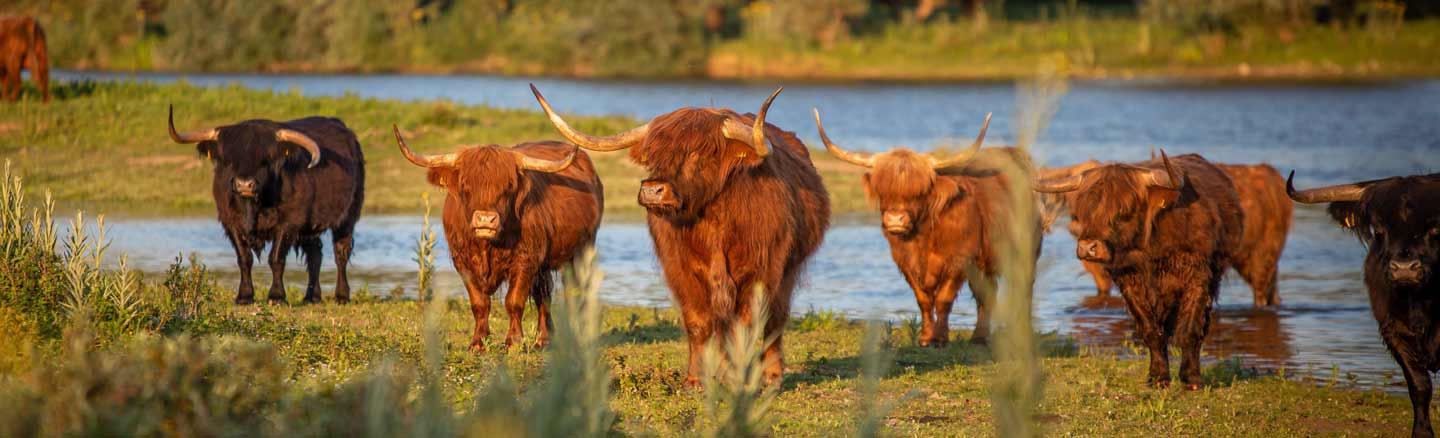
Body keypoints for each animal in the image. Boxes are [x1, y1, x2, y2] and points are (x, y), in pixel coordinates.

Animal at [167, 105, 364, 305]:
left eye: (265, 160)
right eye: (230, 159)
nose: (244, 184)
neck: (254, 207)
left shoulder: (289, 223)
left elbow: (276, 259)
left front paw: (276, 296)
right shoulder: (230, 222)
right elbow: (244, 258)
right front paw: (244, 296)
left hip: (348, 216)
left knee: (341, 252)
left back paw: (341, 296)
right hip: (309, 226)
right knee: (315, 253)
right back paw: (311, 296)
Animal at [392, 126, 603, 351]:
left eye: (508, 185)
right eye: (465, 184)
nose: (485, 219)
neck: (488, 246)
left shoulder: (525, 260)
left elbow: (514, 301)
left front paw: (513, 342)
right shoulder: (463, 262)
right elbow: (479, 303)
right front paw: (477, 343)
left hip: (581, 251)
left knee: (575, 290)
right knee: (544, 294)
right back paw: (543, 339)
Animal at [530, 84, 830, 387]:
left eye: (700, 153)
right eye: (654, 156)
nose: (653, 190)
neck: (715, 227)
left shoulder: (761, 272)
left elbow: (746, 324)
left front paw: (735, 377)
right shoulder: (681, 270)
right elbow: (698, 322)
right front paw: (696, 379)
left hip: (787, 272)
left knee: (774, 321)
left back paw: (771, 376)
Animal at [814, 108, 1041, 347]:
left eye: (920, 192)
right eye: (883, 191)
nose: (895, 219)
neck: (922, 238)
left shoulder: (958, 260)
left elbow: (943, 299)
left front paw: (939, 338)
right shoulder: (905, 261)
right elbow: (923, 299)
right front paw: (925, 337)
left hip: (1027, 251)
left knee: (1024, 288)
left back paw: (1023, 331)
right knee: (987, 294)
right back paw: (979, 337)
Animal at [1034, 152, 1243, 389]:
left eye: (1123, 210)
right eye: (1084, 211)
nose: (1088, 247)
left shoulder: (1198, 278)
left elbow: (1190, 329)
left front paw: (1191, 379)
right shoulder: (1129, 281)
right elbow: (1151, 330)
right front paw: (1158, 377)